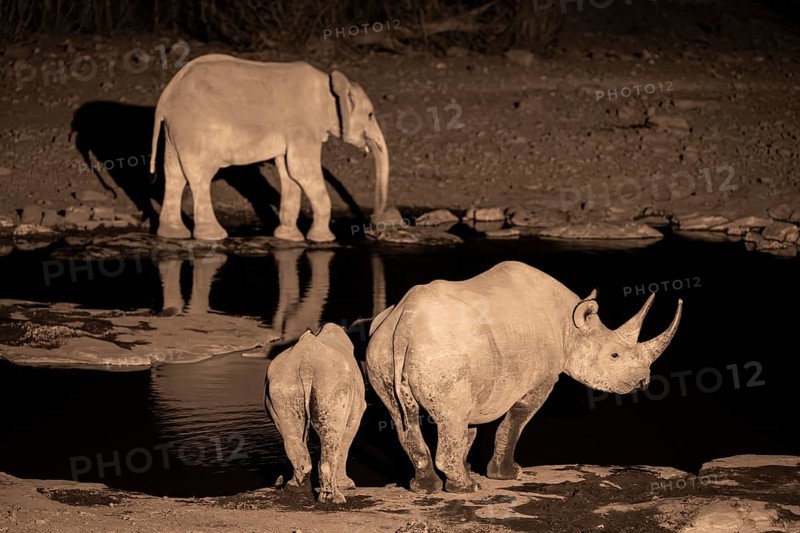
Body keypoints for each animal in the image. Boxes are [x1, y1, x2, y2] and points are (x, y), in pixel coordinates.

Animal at [265, 323, 366, 503]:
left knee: (292, 435)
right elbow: (345, 445)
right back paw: (334, 499)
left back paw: (295, 490)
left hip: (282, 381)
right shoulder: (356, 414)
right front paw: (347, 485)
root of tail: (306, 364)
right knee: (332, 438)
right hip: (333, 381)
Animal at [366, 261, 682, 493]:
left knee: (403, 416)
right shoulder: (542, 378)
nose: (643, 381)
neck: (571, 327)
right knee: (448, 417)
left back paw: (426, 488)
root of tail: (406, 321)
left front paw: (469, 468)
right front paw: (507, 474)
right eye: (615, 356)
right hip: (441, 350)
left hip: (383, 349)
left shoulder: (481, 381)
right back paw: (467, 488)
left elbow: (468, 429)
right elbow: (516, 420)